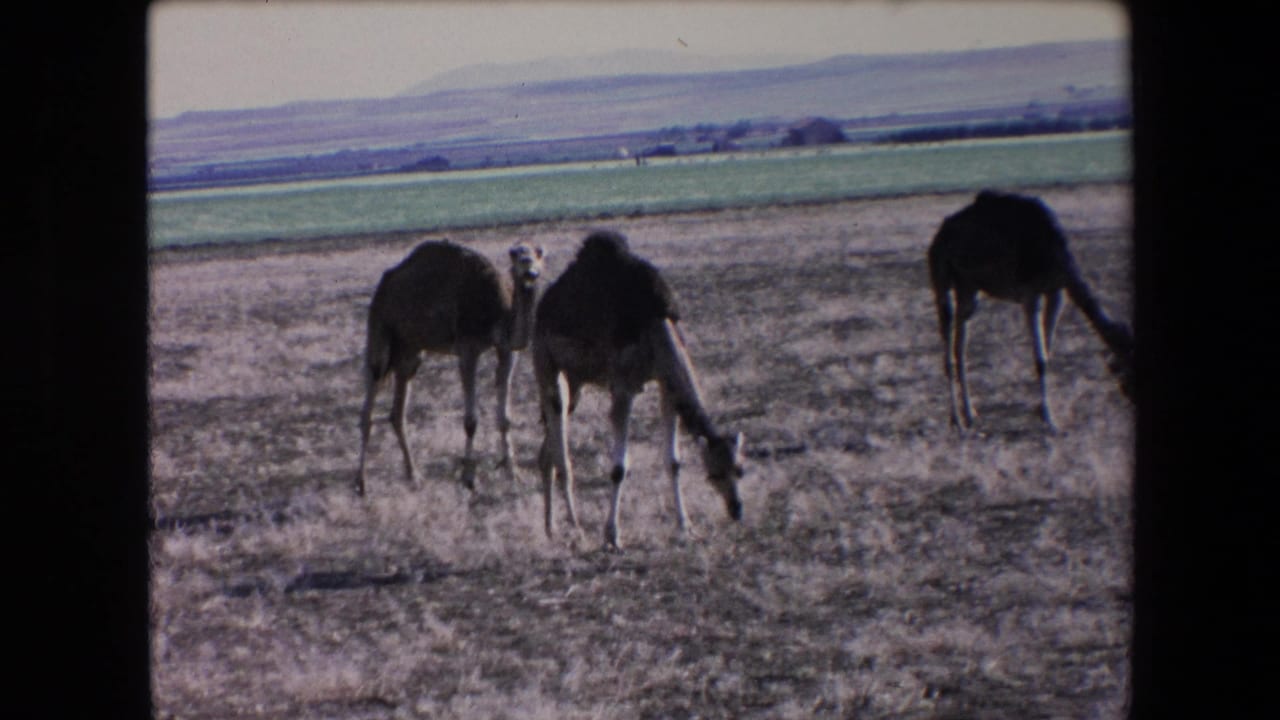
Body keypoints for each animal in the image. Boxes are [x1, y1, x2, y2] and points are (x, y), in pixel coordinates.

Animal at [355, 239, 546, 495]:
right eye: (515, 255)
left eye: (539, 254)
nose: (530, 272)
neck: (497, 310)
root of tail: (384, 284)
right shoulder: (468, 347)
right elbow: (471, 421)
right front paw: (468, 478)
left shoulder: (507, 350)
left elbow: (505, 417)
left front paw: (513, 472)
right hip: (380, 330)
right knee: (370, 399)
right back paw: (362, 483)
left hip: (410, 349)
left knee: (397, 411)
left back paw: (414, 475)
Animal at [532, 230, 745, 549]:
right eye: (714, 473)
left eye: (740, 469)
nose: (736, 509)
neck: (655, 321)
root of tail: (544, 305)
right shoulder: (623, 386)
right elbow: (619, 468)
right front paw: (612, 536)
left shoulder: (666, 386)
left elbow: (674, 461)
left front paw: (686, 526)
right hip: (547, 365)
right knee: (559, 450)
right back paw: (575, 526)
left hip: (576, 380)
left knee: (547, 453)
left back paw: (549, 527)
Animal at [928, 189, 1135, 432]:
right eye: (1130, 367)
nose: (1131, 398)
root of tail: (939, 235)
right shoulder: (1031, 294)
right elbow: (1041, 359)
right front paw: (1049, 419)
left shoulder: (1057, 292)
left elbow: (1048, 351)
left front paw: (1042, 411)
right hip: (942, 278)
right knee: (948, 343)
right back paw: (956, 420)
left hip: (969, 288)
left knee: (960, 346)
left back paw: (970, 414)